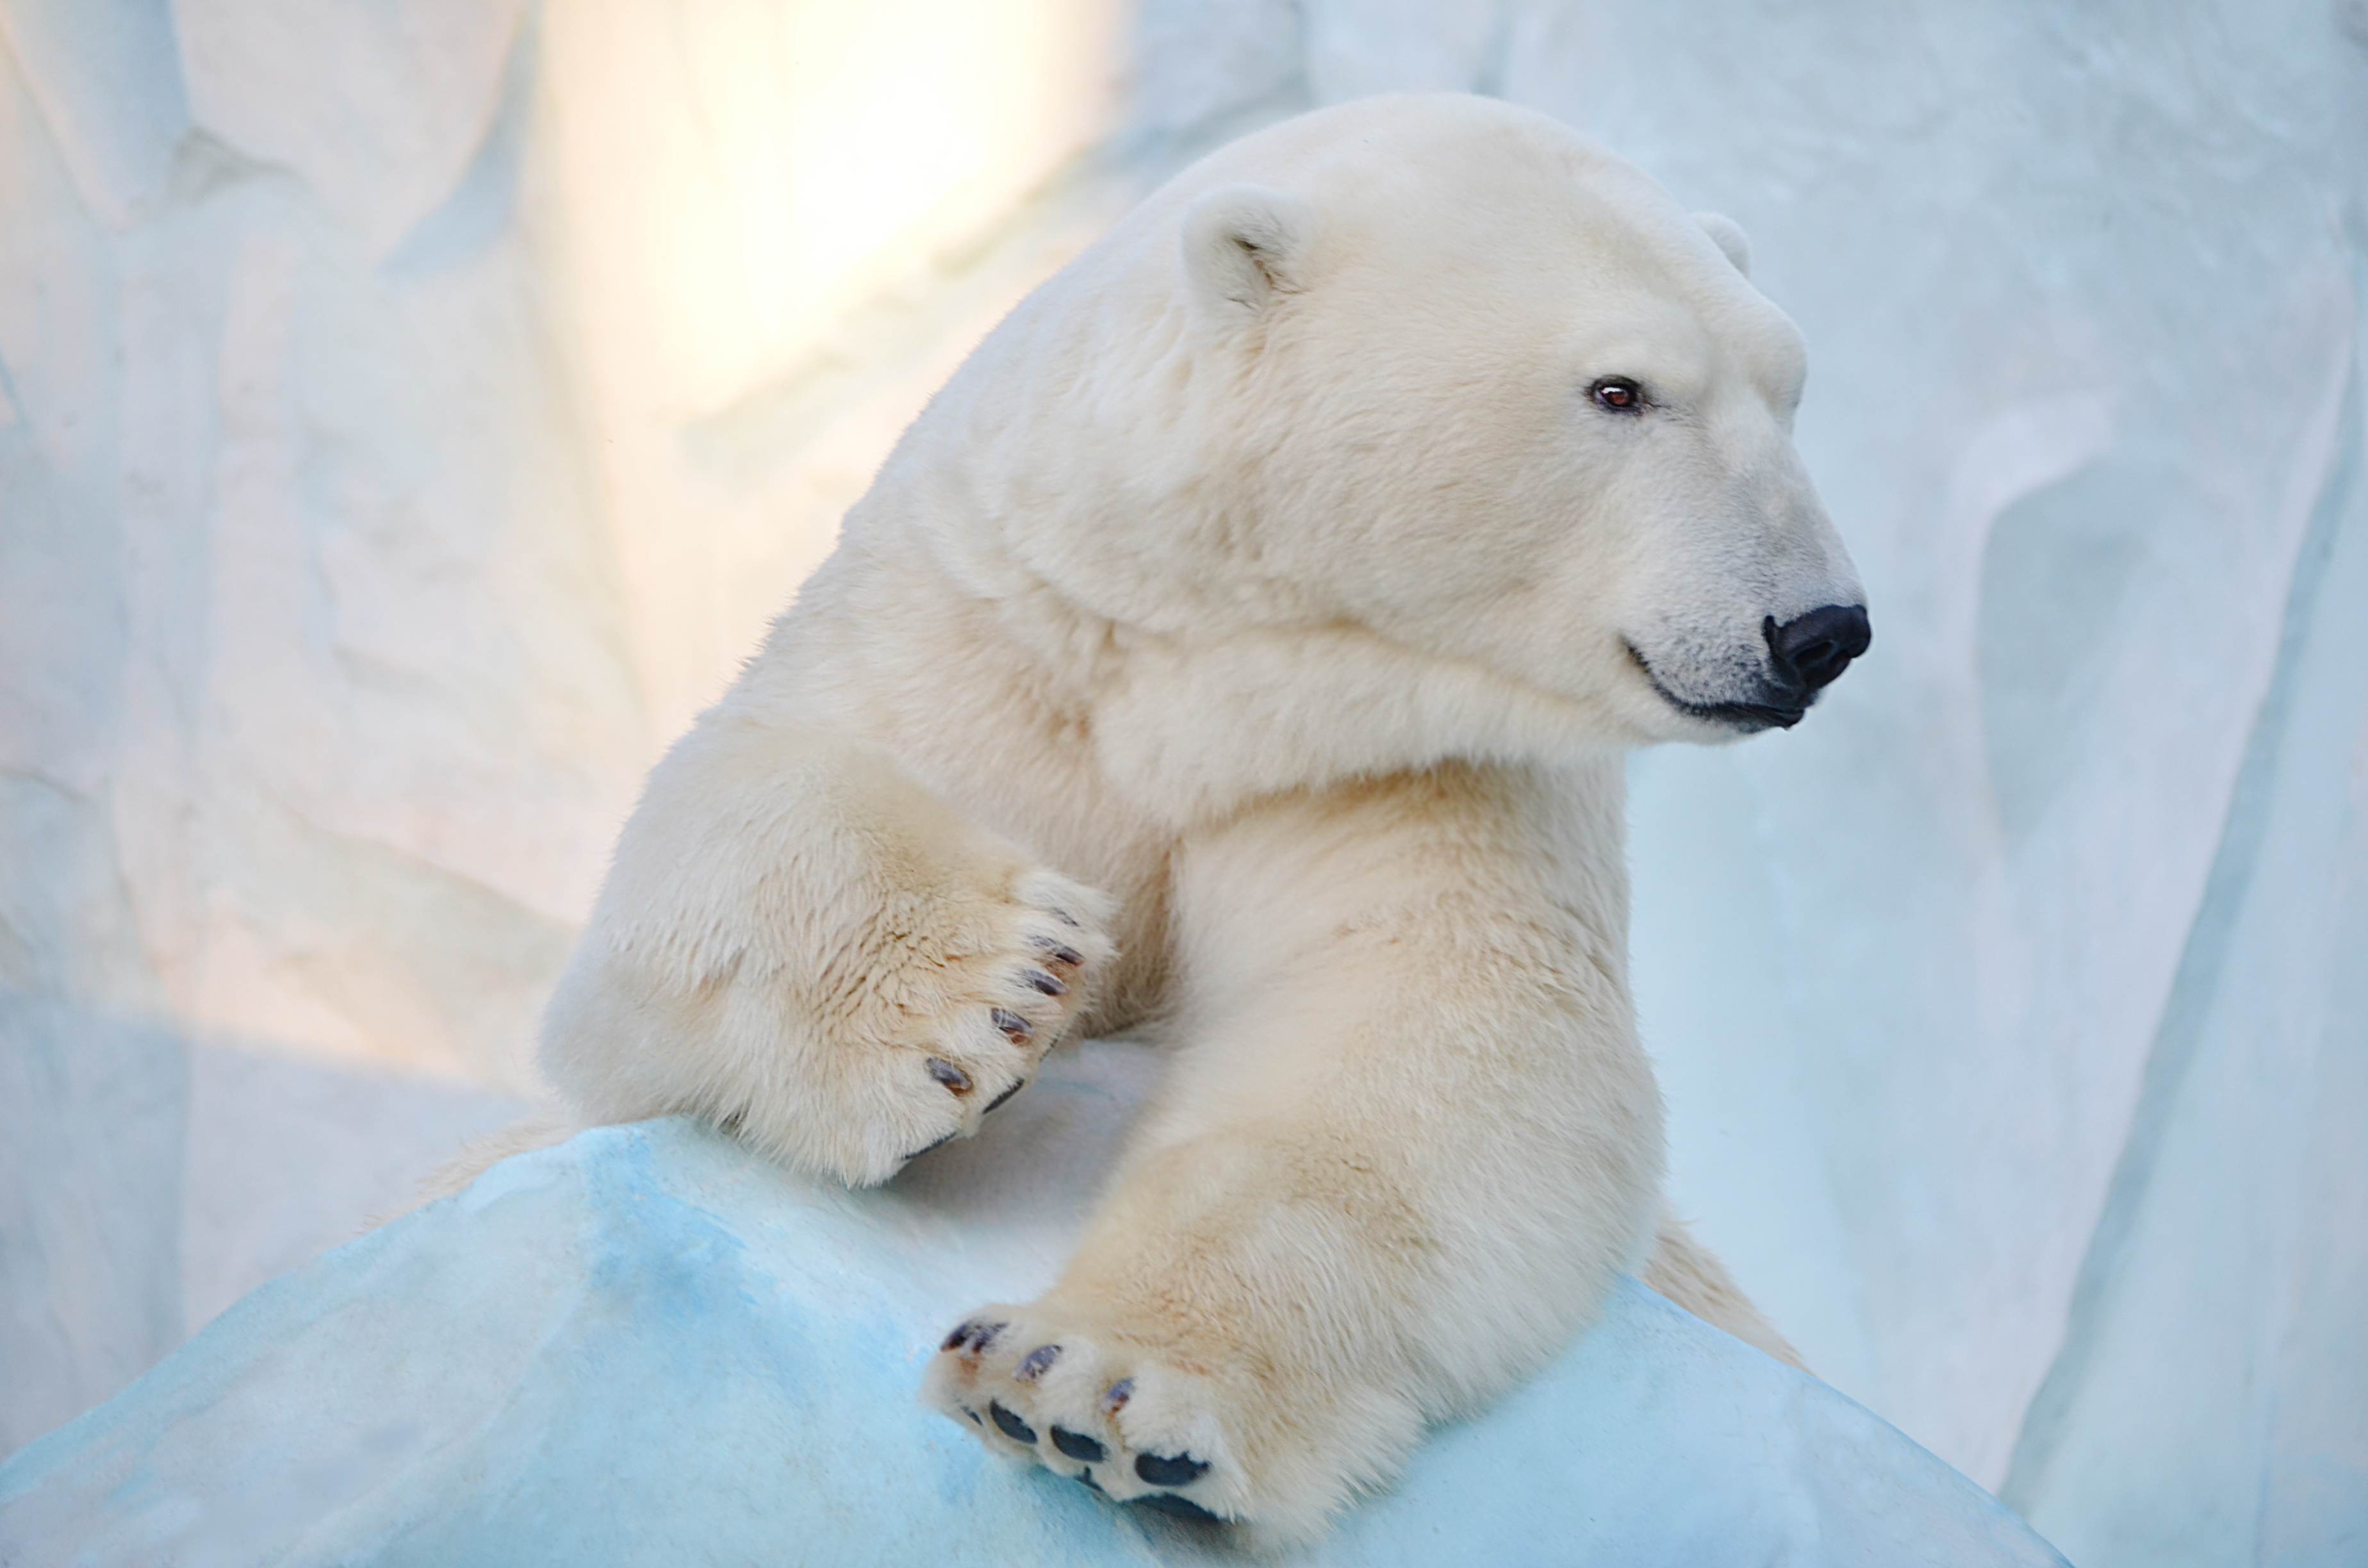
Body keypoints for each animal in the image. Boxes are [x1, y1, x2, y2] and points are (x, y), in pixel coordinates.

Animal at [532, 98, 1866, 1544]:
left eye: (1789, 388)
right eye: (1620, 389)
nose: (1819, 630)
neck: (1206, 669)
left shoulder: (1406, 768)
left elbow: (1422, 1044)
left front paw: (1089, 1387)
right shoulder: (991, 636)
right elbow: (716, 832)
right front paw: (989, 999)